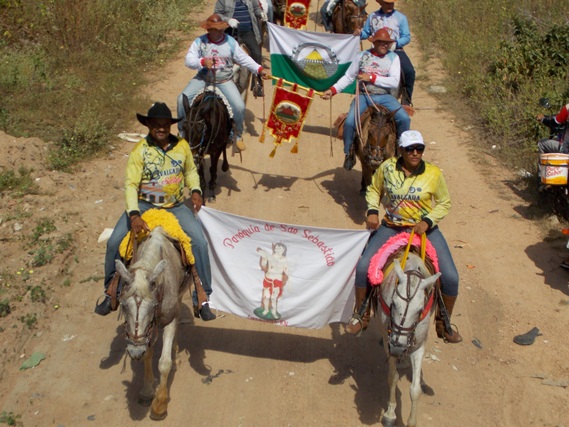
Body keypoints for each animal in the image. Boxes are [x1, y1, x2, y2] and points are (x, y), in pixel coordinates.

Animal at [116, 227, 190, 422]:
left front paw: (159, 405)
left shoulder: (168, 318)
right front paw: (147, 391)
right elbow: (148, 355)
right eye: (124, 305)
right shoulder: (146, 331)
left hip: (180, 297)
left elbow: (164, 363)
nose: (134, 352)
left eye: (152, 306)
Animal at [374, 252, 442, 426]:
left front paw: (411, 421)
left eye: (419, 310)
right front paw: (390, 413)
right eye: (393, 303)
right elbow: (393, 377)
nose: (398, 347)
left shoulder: (419, 346)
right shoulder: (388, 342)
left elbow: (415, 389)